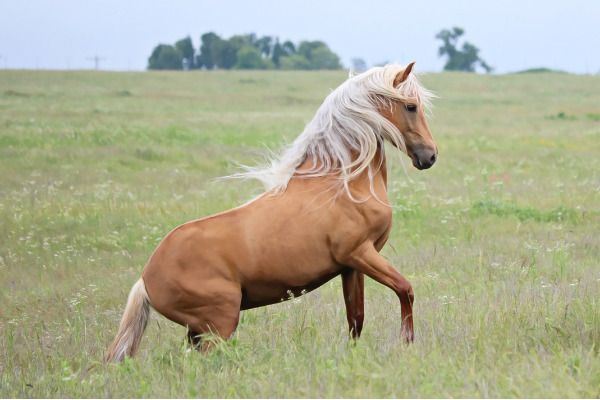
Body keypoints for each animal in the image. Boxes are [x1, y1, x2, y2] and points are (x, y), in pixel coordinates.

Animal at [105, 61, 438, 362]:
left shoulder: (351, 266)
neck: (343, 182)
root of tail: (145, 278)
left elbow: (356, 318)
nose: (430, 156)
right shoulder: (360, 253)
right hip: (220, 323)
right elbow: (405, 289)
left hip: (200, 330)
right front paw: (406, 342)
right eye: (411, 106)